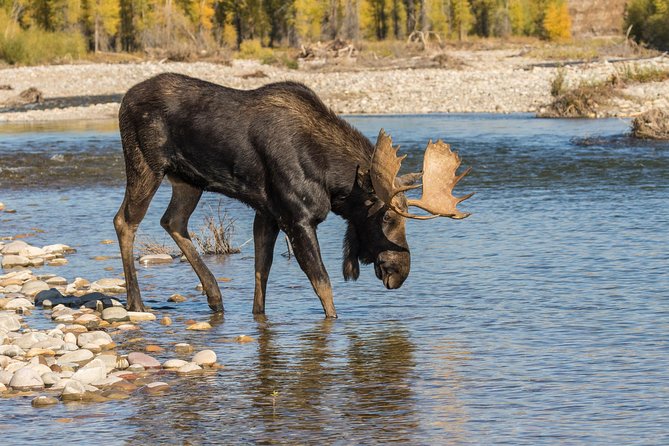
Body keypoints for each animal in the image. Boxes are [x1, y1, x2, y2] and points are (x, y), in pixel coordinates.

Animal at [115, 73, 470, 318]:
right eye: (387, 216)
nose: (401, 271)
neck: (336, 184)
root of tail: (123, 101)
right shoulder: (297, 218)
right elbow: (322, 283)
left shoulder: (267, 213)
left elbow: (262, 273)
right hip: (146, 164)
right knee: (125, 221)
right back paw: (136, 301)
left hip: (189, 180)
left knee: (172, 221)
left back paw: (214, 296)